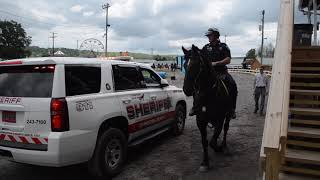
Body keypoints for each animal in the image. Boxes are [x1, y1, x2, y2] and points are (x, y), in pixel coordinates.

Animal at [182, 44, 232, 172]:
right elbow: (205, 142)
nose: (187, 89)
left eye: (196, 65)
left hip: (228, 115)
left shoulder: (220, 119)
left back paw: (224, 146)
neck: (209, 95)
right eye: (184, 65)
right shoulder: (201, 121)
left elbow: (212, 141)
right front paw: (205, 162)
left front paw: (218, 148)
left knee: (226, 129)